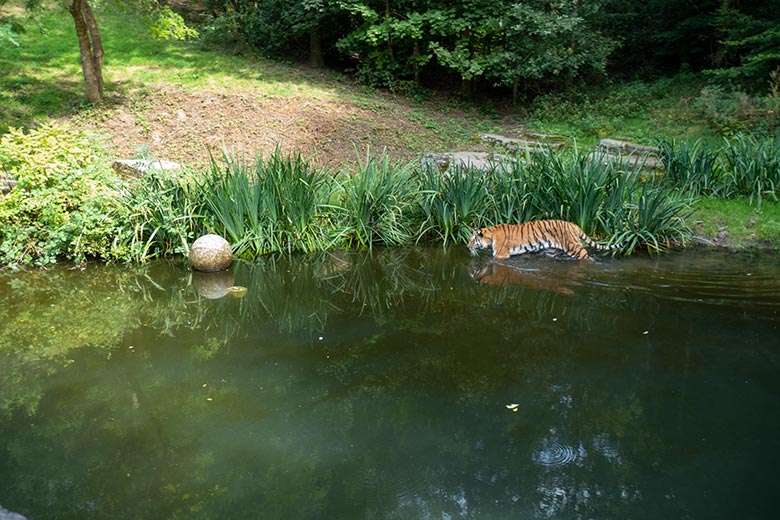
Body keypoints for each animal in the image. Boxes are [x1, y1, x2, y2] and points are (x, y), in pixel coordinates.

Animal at [470, 219, 620, 260]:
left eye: (472, 240)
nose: (467, 247)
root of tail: (574, 225)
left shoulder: (500, 255)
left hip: (574, 247)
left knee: (587, 258)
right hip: (551, 250)